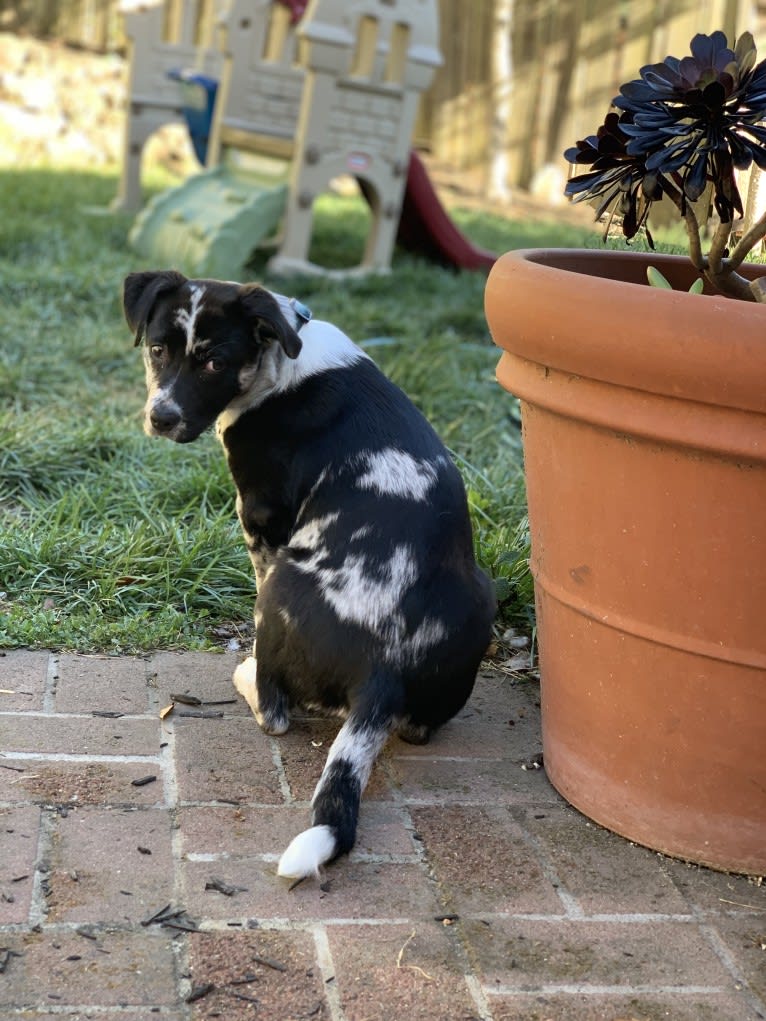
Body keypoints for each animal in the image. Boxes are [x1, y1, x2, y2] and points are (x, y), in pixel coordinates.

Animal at [124, 271, 498, 878]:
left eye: (214, 362)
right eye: (158, 350)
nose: (162, 418)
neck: (282, 358)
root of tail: (383, 671)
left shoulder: (260, 516)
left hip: (282, 584)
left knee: (276, 712)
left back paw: (249, 678)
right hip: (480, 596)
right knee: (420, 727)